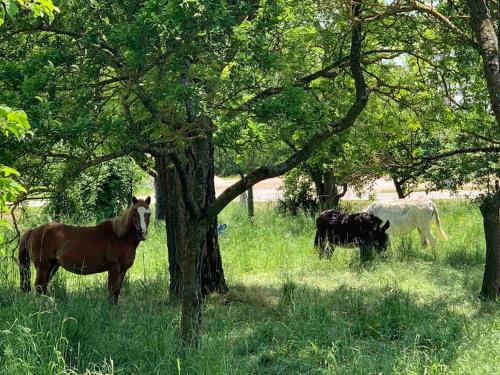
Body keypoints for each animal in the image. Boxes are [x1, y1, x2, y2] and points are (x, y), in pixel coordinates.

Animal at [18, 195, 151, 304]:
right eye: (134, 213)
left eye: (148, 214)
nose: (142, 233)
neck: (119, 237)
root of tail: (33, 231)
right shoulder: (113, 269)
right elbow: (111, 292)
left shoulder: (122, 271)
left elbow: (116, 293)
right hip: (43, 267)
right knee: (39, 287)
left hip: (52, 267)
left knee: (43, 288)